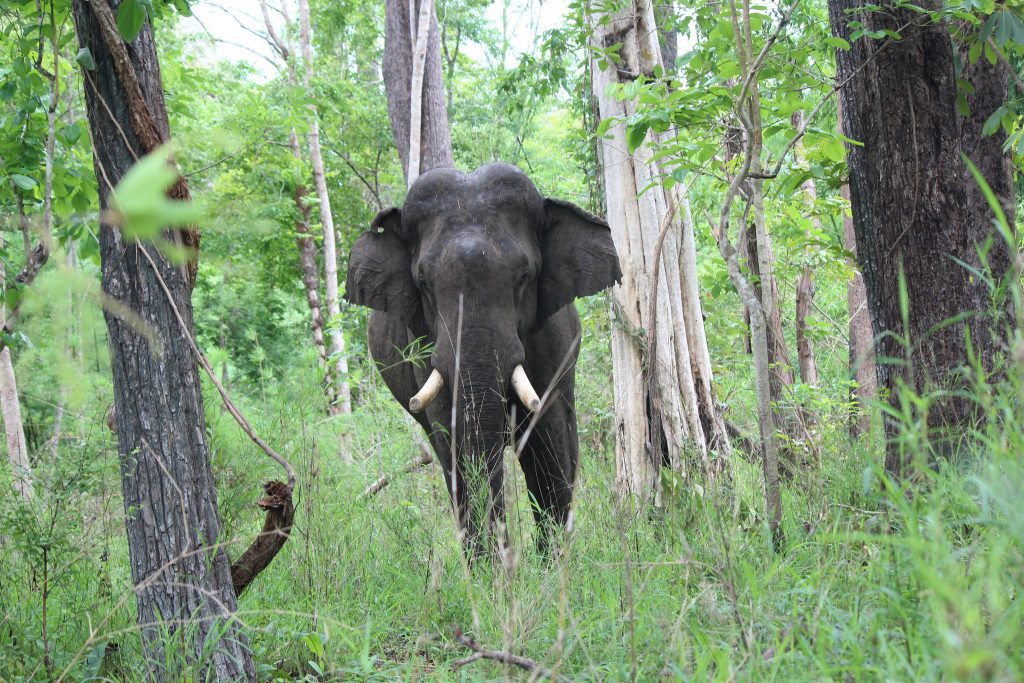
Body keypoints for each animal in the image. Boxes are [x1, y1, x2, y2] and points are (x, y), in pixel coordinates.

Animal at [344, 162, 618, 557]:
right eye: (423, 283)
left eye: (525, 276)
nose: (506, 554)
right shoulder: (423, 346)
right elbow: (456, 442)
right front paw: (491, 568)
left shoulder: (553, 339)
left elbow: (548, 442)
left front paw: (552, 564)